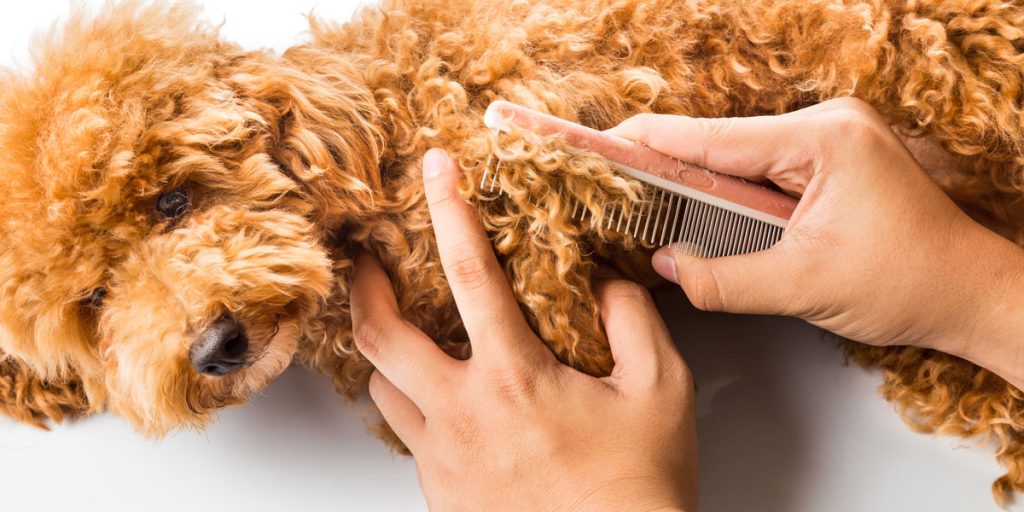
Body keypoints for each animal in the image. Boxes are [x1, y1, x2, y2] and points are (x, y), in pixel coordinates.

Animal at [2, 0, 1024, 503]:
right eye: (93, 303)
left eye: (173, 199)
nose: (216, 346)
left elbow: (543, 216)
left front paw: (559, 185)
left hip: (937, 65)